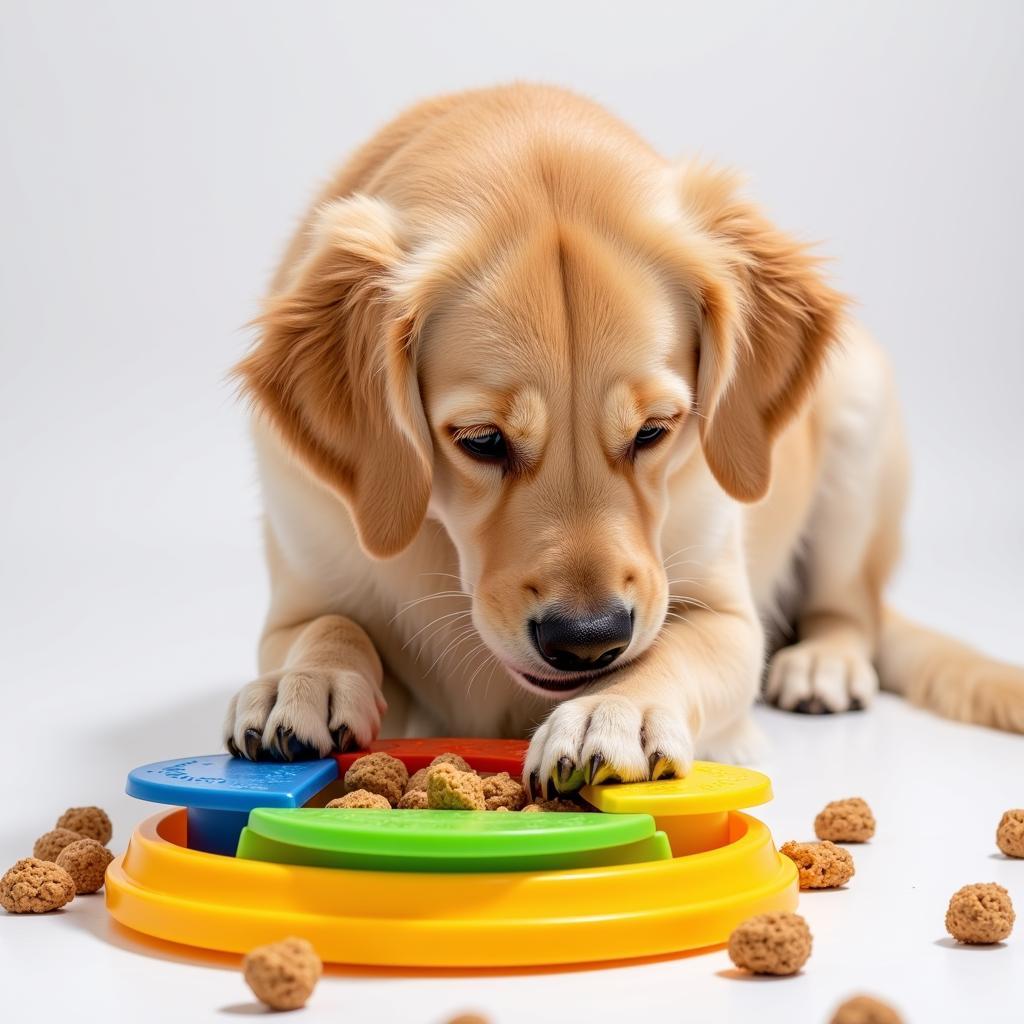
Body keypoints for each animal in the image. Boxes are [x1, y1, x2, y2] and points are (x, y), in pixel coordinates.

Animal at [226, 83, 1024, 794]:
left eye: (655, 431)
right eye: (481, 441)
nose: (587, 640)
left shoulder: (730, 619)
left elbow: (676, 648)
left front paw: (613, 711)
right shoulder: (304, 570)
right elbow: (326, 622)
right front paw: (300, 680)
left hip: (861, 406)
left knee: (852, 606)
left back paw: (823, 663)